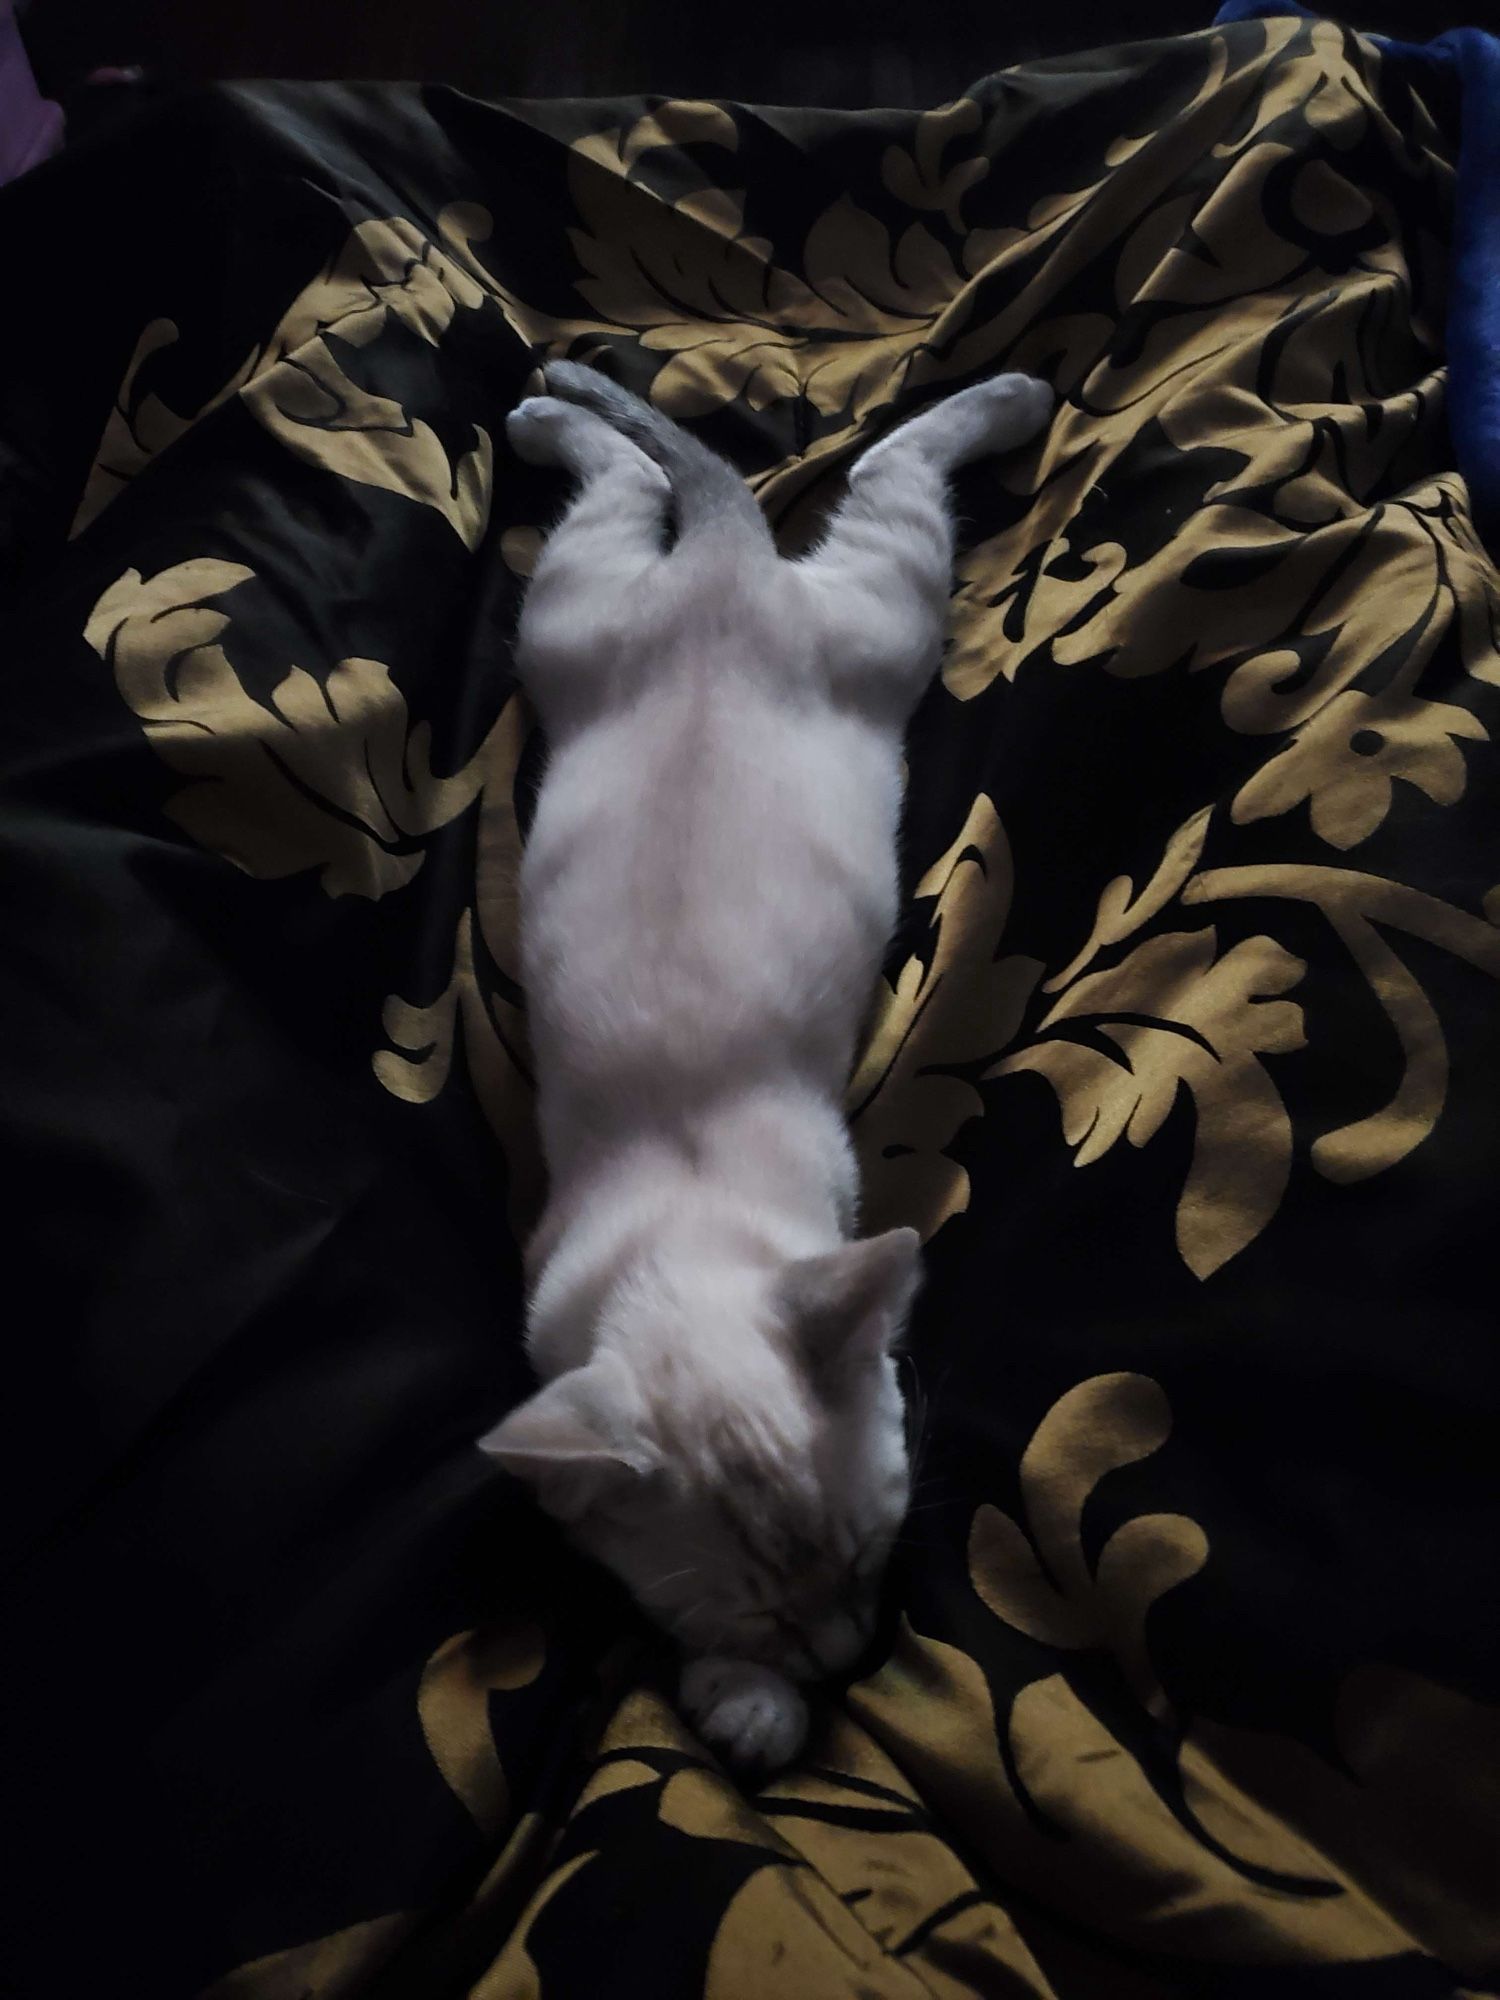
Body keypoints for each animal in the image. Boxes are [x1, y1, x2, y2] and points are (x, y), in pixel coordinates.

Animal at [484, 356, 1056, 1768]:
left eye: (869, 1551)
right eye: (762, 1610)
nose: (851, 1658)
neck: (683, 1231)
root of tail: (728, 570)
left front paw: (749, 1705)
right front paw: (747, 1698)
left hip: (880, 616)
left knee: (870, 467)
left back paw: (1016, 397)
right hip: (571, 619)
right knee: (647, 482)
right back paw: (553, 417)